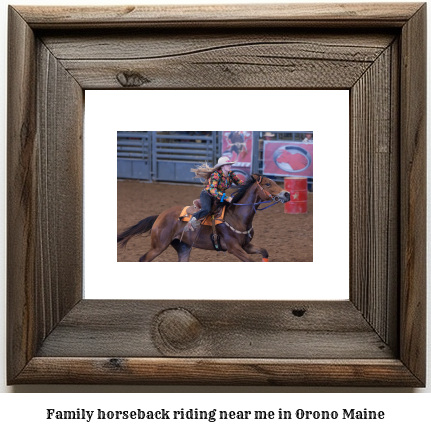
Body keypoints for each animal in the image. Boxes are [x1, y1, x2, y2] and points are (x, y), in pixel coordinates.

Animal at [119, 174, 290, 262]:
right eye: (267, 184)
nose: (287, 194)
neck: (237, 216)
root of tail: (159, 216)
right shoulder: (235, 248)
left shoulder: (246, 246)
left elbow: (264, 252)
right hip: (158, 246)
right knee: (143, 259)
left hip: (183, 248)